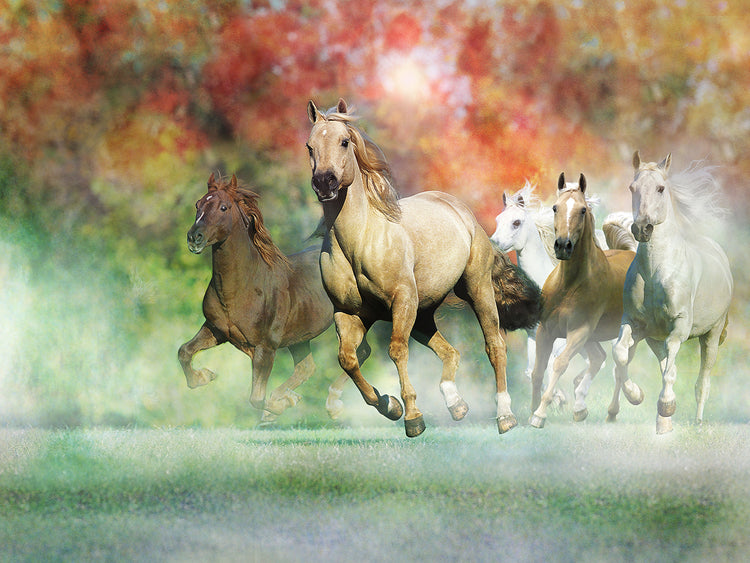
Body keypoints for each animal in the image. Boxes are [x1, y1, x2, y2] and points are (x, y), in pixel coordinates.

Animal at [177, 173, 353, 423]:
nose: (194, 238)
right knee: (306, 368)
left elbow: (256, 398)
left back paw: (334, 405)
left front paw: (279, 406)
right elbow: (184, 351)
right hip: (300, 338)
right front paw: (205, 376)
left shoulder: (265, 348)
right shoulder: (215, 329)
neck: (243, 288)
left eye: (223, 207)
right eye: (197, 204)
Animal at [306, 98, 541, 437]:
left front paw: (413, 417)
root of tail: (463, 212)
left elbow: (395, 351)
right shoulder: (348, 313)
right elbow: (348, 359)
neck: (360, 241)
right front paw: (389, 405)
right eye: (310, 146)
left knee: (494, 345)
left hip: (476, 290)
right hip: (423, 313)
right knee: (450, 352)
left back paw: (505, 416)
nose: (325, 182)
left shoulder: (402, 301)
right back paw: (456, 404)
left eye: (344, 141)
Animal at [529, 173, 637, 427]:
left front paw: (540, 414)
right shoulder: (545, 330)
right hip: (593, 338)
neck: (568, 285)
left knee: (620, 364)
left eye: (582, 210)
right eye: (555, 207)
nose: (562, 245)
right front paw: (529, 412)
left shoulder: (579, 330)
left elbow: (559, 364)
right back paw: (581, 408)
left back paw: (623, 403)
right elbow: (538, 371)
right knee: (601, 358)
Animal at [612, 152, 732, 434]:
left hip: (711, 335)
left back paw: (696, 420)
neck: (655, 272)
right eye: (632, 188)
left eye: (660, 188)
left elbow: (671, 370)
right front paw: (636, 395)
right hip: (654, 339)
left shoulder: (679, 327)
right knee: (666, 364)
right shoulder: (634, 323)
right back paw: (662, 423)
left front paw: (667, 405)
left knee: (702, 381)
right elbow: (620, 354)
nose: (642, 228)